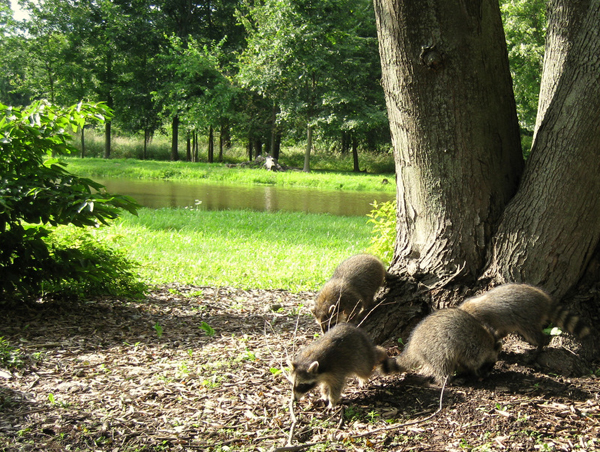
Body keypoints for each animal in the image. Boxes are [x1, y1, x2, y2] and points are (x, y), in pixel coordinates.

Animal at [460, 282, 592, 350]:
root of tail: (546, 302)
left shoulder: (480, 320)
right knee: (504, 330)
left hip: (529, 318)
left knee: (534, 335)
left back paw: (540, 346)